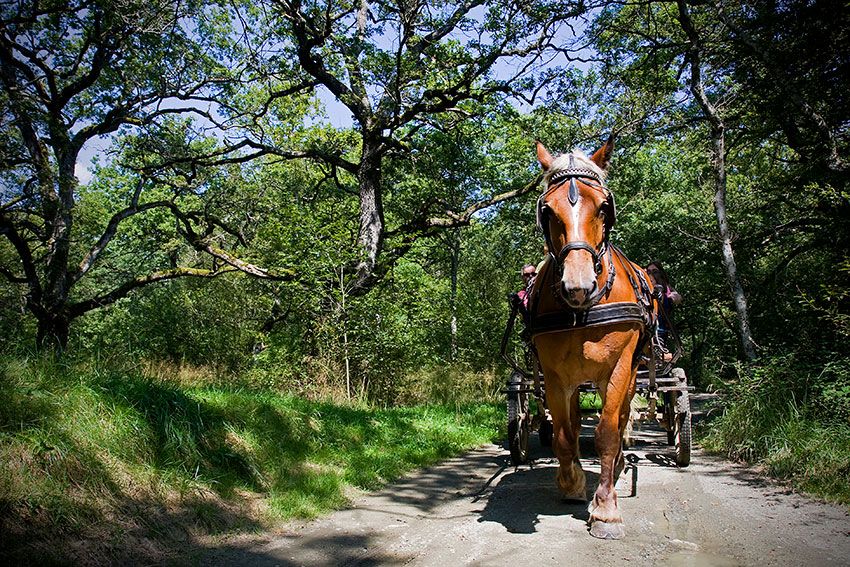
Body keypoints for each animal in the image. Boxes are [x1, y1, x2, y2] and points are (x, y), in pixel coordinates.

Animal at [528, 139, 652, 540]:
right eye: (547, 210)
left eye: (603, 207)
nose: (578, 286)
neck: (584, 309)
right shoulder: (555, 376)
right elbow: (565, 434)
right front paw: (571, 484)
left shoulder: (617, 369)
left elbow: (608, 433)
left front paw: (606, 509)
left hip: (632, 375)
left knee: (622, 418)